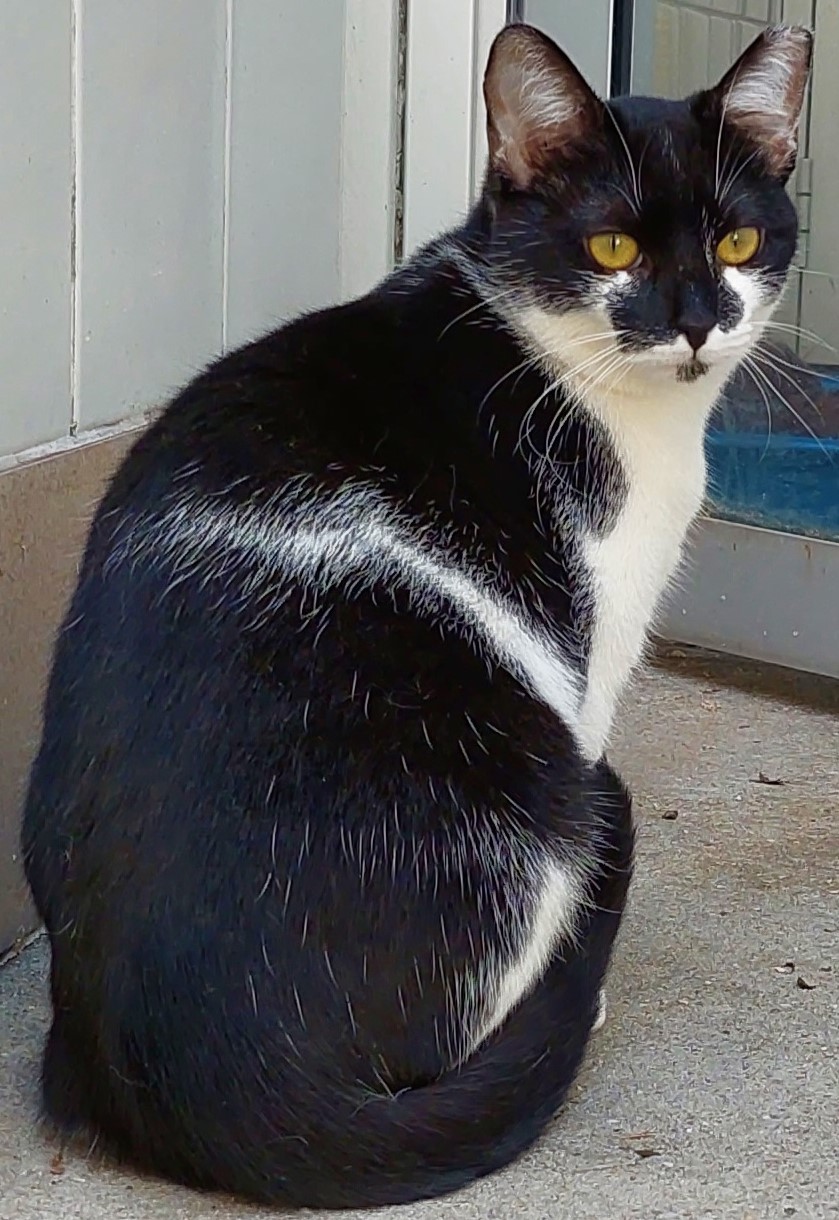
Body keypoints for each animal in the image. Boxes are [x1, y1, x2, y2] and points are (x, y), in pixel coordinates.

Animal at [24, 19, 814, 1210]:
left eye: (733, 239)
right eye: (610, 250)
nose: (691, 325)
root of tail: (195, 1066)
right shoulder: (588, 644)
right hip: (536, 788)